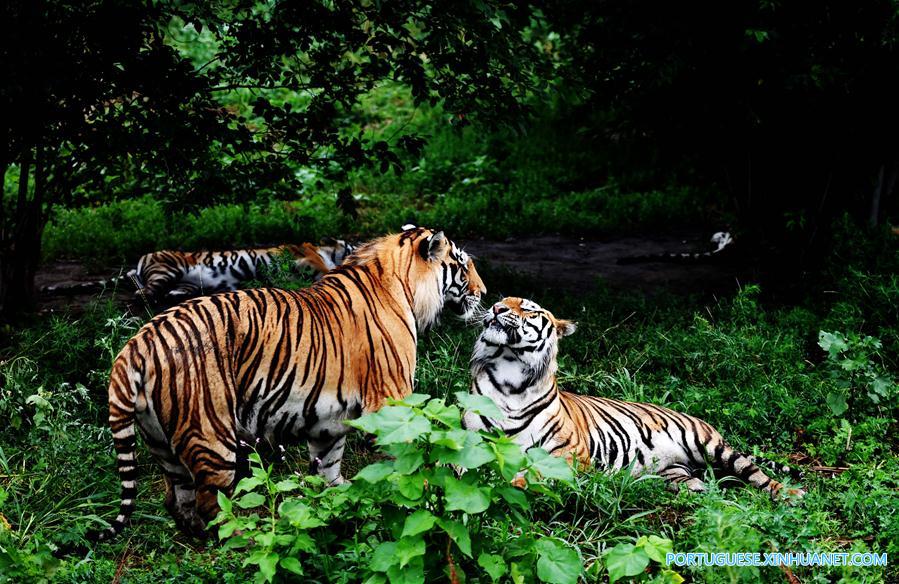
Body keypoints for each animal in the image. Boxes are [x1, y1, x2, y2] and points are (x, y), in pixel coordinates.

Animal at [86, 228, 486, 544]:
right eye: (463, 264)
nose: (484, 292)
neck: (403, 284)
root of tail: (139, 341)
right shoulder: (392, 400)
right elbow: (407, 461)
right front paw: (415, 503)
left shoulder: (328, 422)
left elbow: (329, 469)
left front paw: (343, 506)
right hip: (211, 434)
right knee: (212, 503)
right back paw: (242, 542)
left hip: (159, 441)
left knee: (176, 499)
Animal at [460, 298, 804, 500]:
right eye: (501, 300)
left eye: (528, 309)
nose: (496, 308)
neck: (511, 375)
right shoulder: (470, 441)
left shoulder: (569, 454)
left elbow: (531, 475)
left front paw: (505, 483)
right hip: (675, 472)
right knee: (700, 487)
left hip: (713, 447)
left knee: (756, 474)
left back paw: (790, 494)